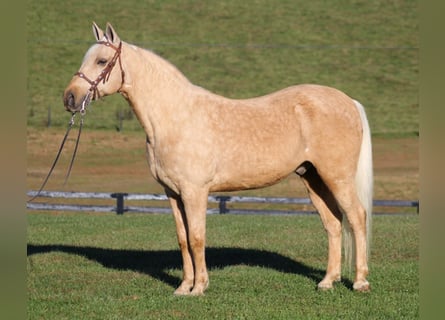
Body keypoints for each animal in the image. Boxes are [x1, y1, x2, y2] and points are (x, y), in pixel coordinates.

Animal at [63, 22, 372, 296]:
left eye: (102, 61)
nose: (70, 98)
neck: (175, 116)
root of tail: (349, 102)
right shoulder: (173, 193)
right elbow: (183, 239)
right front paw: (183, 288)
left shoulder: (195, 192)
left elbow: (197, 238)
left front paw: (199, 287)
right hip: (313, 177)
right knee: (333, 224)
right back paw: (327, 282)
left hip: (337, 177)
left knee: (357, 218)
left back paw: (360, 282)